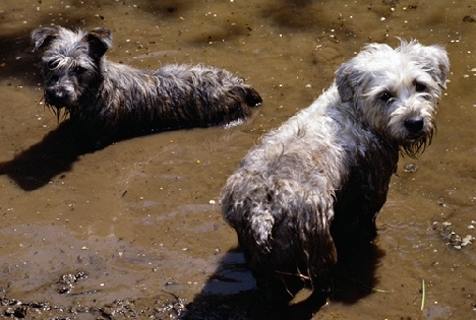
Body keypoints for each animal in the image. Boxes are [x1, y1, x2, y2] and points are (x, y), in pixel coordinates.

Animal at [30, 26, 260, 146]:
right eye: (51, 64)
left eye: (79, 68)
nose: (58, 94)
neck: (96, 91)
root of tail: (239, 84)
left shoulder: (97, 135)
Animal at [221, 40, 448, 302]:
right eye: (385, 95)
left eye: (420, 85)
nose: (414, 123)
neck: (356, 112)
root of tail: (262, 211)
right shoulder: (373, 189)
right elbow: (366, 222)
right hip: (319, 245)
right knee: (321, 282)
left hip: (258, 255)